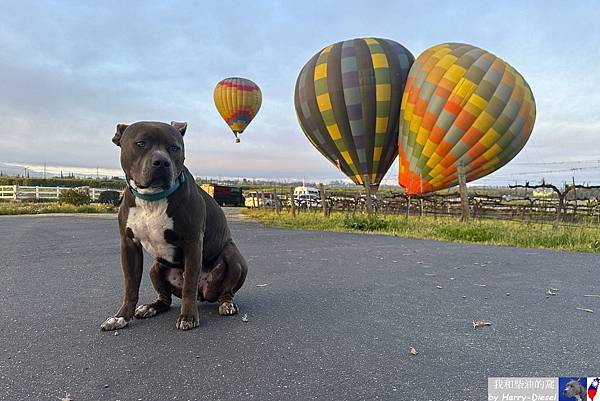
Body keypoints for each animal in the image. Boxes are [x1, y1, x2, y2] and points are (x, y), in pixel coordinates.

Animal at [102, 121, 247, 332]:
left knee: (225, 289)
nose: (161, 162)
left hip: (233, 257)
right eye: (141, 143)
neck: (153, 198)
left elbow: (189, 285)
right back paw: (151, 307)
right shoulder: (129, 244)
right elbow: (130, 286)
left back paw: (226, 304)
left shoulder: (193, 242)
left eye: (174, 147)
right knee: (166, 299)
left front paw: (188, 317)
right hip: (156, 267)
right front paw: (121, 317)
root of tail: (204, 294)